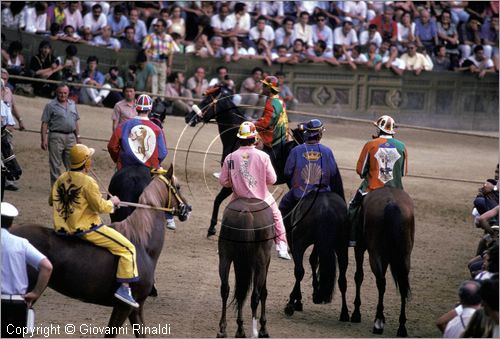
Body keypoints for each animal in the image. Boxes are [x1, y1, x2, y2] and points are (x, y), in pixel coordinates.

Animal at [218, 198, 276, 338]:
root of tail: (246, 211)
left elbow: (239, 292)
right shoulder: (266, 261)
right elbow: (264, 292)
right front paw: (263, 328)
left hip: (225, 257)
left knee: (225, 289)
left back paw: (225, 329)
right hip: (260, 263)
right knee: (255, 296)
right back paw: (254, 332)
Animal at [284, 191, 350, 322]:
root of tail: (325, 208)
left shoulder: (296, 243)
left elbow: (305, 266)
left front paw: (298, 301)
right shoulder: (319, 244)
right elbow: (313, 260)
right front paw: (316, 293)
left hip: (299, 243)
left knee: (299, 271)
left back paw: (291, 303)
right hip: (342, 247)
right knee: (342, 280)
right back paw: (344, 313)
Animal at [348, 187, 414, 338]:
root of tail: (391, 203)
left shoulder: (359, 248)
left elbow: (358, 276)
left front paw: (356, 313)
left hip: (374, 254)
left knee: (381, 282)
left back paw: (378, 322)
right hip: (405, 256)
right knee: (402, 285)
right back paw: (401, 327)